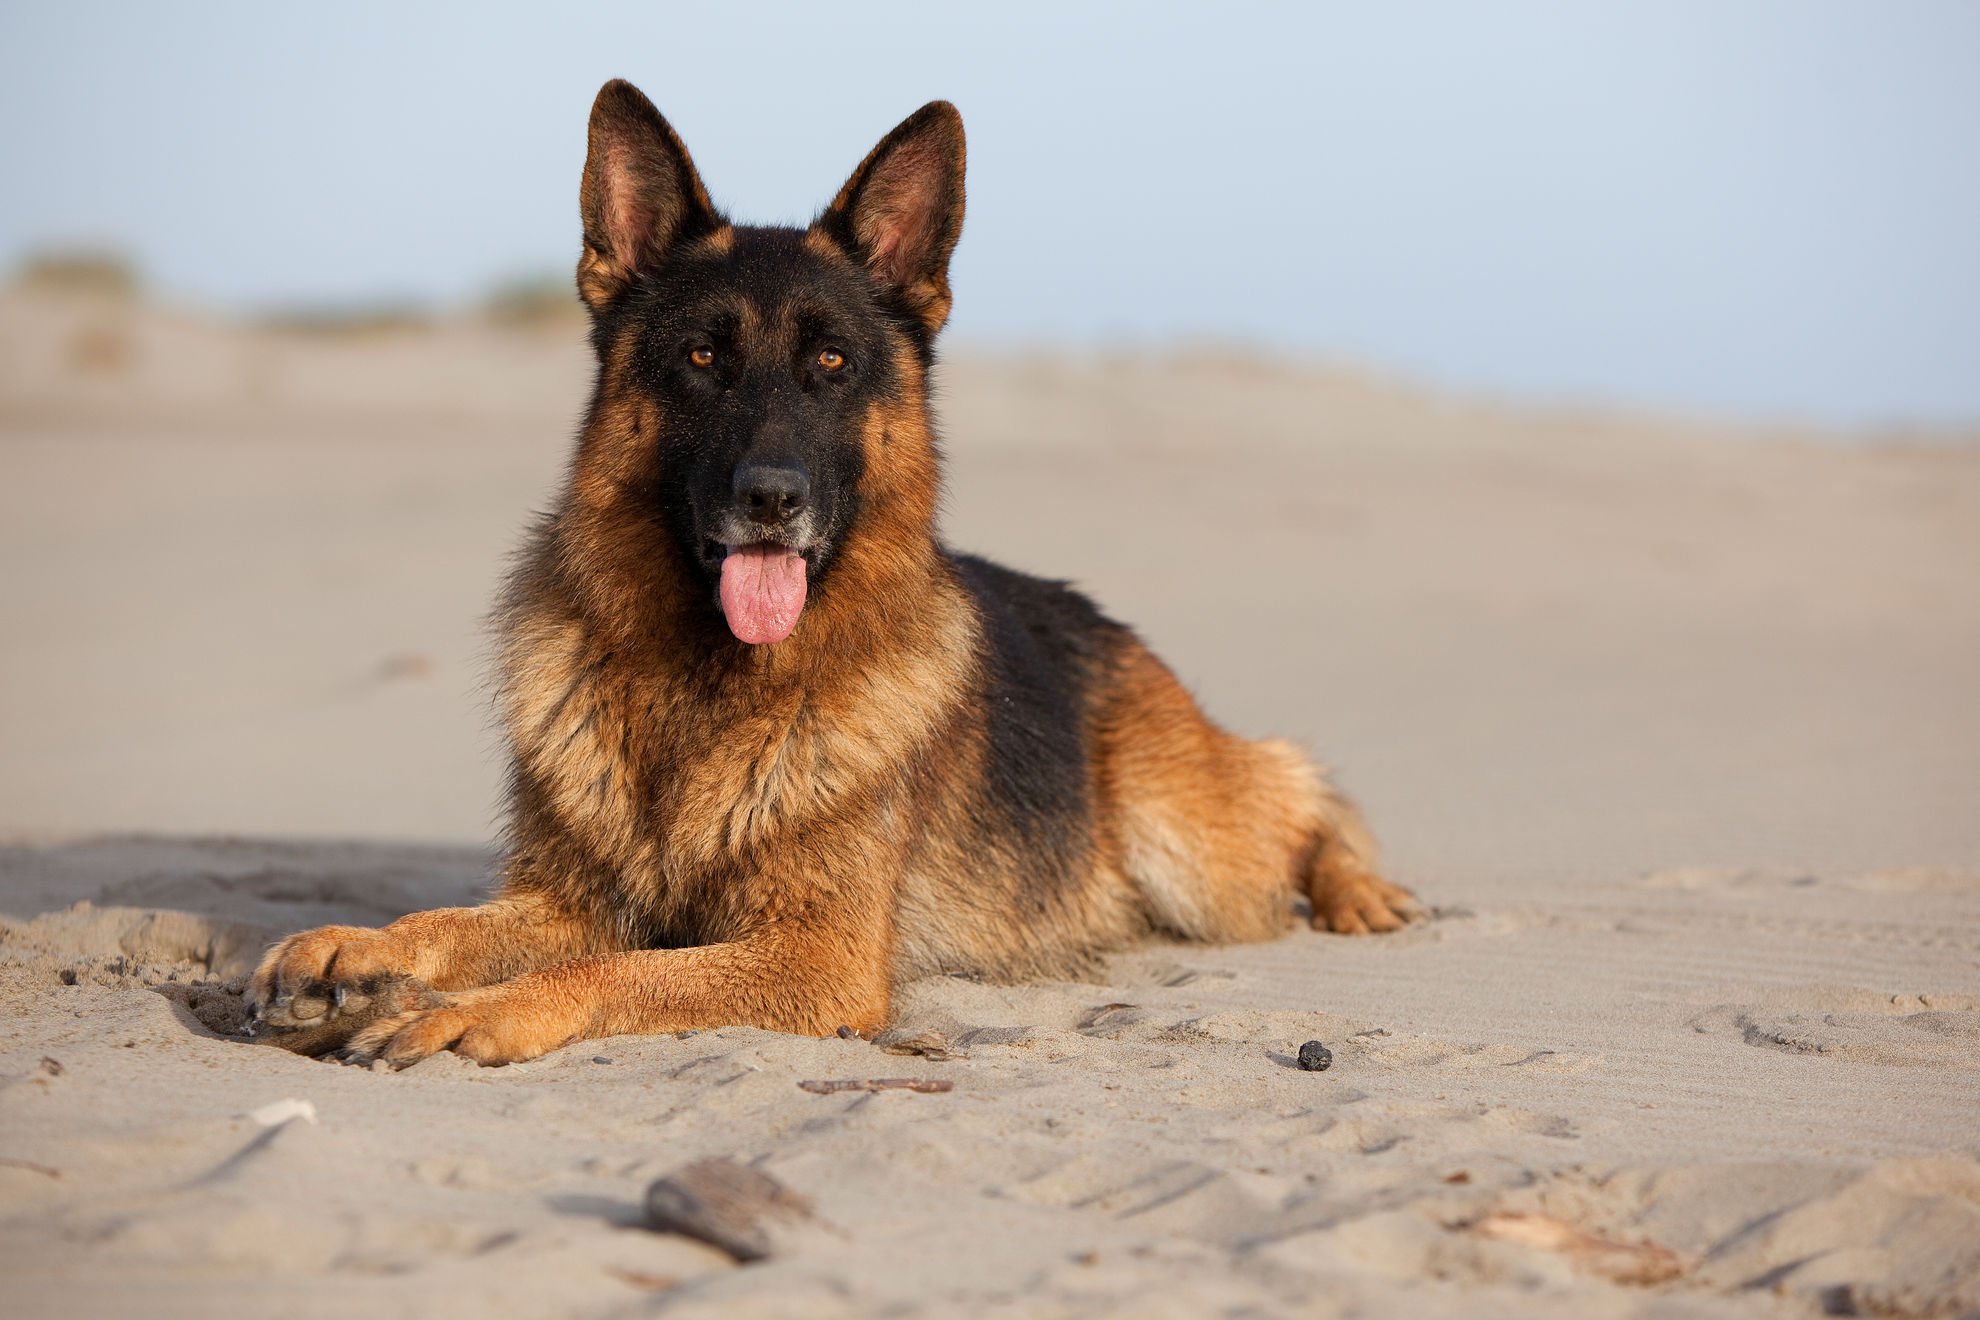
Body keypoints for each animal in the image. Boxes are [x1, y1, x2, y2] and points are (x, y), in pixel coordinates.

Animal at [251, 80, 1425, 1060]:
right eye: (702, 358)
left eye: (831, 363)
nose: (772, 501)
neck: (704, 682)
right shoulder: (566, 904)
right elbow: (455, 923)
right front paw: (360, 947)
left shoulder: (815, 959)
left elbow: (615, 972)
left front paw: (477, 1011)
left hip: (1190, 850)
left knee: (1292, 785)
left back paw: (1360, 885)